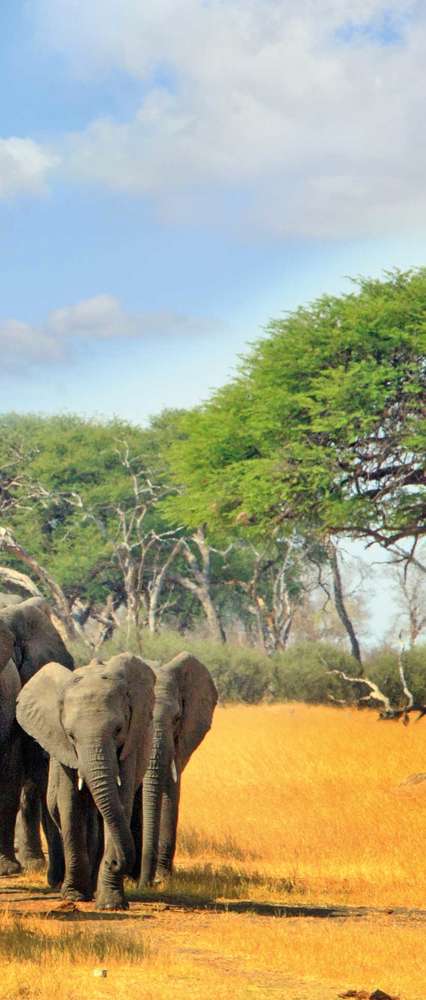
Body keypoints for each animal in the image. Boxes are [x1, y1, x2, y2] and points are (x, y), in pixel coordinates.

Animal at [17, 652, 156, 912]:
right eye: (71, 735)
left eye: (118, 730)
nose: (116, 863)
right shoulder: (63, 749)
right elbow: (70, 805)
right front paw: (74, 895)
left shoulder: (130, 745)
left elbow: (121, 800)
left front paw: (111, 904)